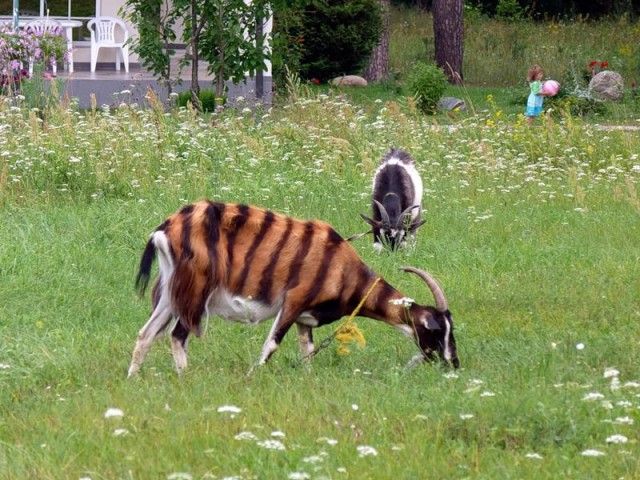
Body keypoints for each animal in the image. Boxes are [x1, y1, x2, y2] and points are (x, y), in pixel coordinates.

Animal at [127, 201, 458, 376]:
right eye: (434, 328)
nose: (453, 363)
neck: (341, 265)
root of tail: (165, 229)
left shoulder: (304, 319)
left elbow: (307, 352)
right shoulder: (293, 301)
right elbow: (271, 345)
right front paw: (253, 377)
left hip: (171, 293)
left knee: (146, 334)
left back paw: (134, 379)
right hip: (196, 292)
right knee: (177, 335)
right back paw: (187, 378)